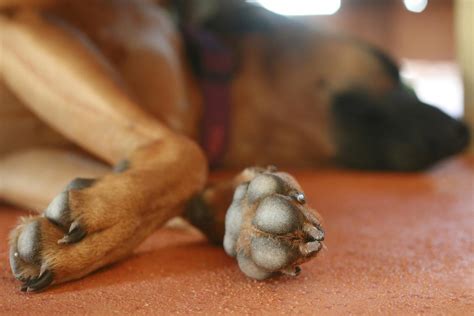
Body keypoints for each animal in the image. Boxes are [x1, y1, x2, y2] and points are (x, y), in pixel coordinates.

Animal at [0, 0, 468, 292]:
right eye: (390, 69)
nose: (464, 131)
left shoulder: (19, 161)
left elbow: (182, 186)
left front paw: (243, 216)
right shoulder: (24, 21)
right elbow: (189, 156)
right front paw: (103, 221)